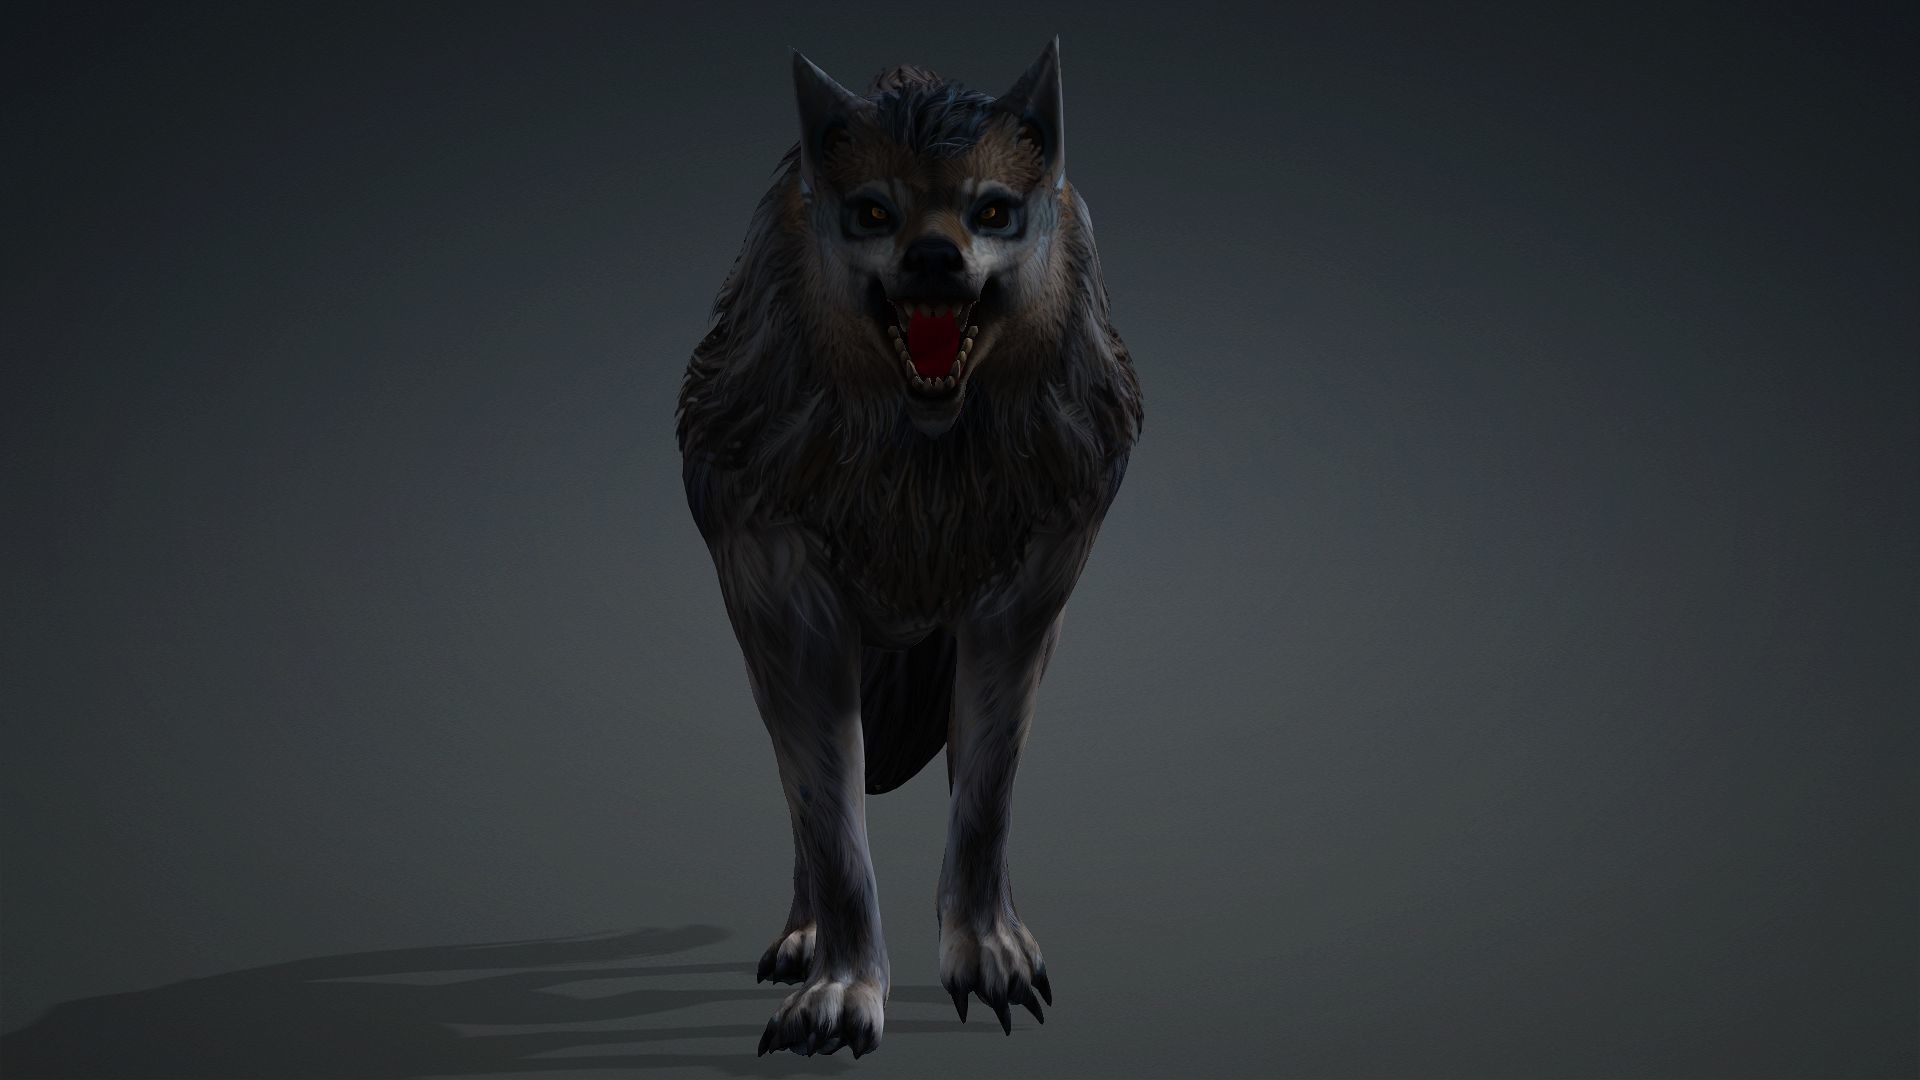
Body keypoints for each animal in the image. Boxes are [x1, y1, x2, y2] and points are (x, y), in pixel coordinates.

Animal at [676, 39, 1142, 1058]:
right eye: (873, 212)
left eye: (992, 211)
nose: (933, 255)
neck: (920, 474)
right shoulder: (783, 590)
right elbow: (829, 816)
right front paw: (840, 984)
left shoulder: (1023, 591)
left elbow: (987, 794)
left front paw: (987, 949)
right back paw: (802, 935)